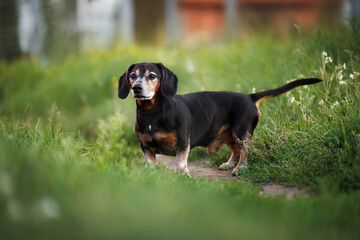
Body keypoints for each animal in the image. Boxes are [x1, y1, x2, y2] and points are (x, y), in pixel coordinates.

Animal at [117, 62, 320, 176]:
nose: (136, 88)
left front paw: (182, 175)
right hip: (229, 133)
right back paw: (229, 164)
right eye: (132, 76)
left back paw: (239, 169)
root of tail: (250, 97)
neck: (152, 113)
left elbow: (181, 162)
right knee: (236, 150)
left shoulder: (182, 142)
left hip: (242, 133)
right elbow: (151, 163)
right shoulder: (146, 146)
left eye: (152, 76)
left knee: (244, 152)